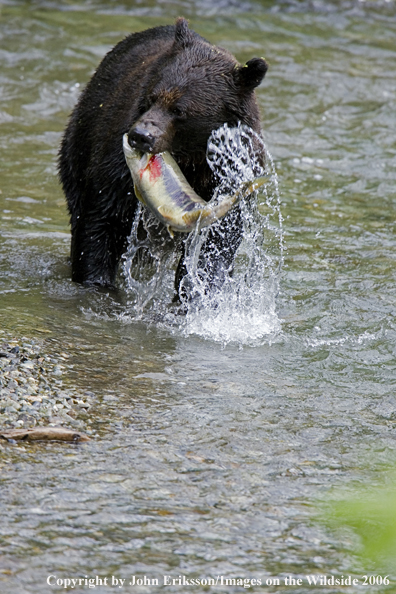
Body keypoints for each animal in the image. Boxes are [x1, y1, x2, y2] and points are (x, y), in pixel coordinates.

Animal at [58, 16, 270, 298]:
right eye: (152, 98)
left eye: (179, 110)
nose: (140, 135)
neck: (190, 158)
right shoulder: (117, 165)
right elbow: (102, 217)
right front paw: (96, 280)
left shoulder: (232, 173)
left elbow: (216, 243)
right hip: (79, 143)